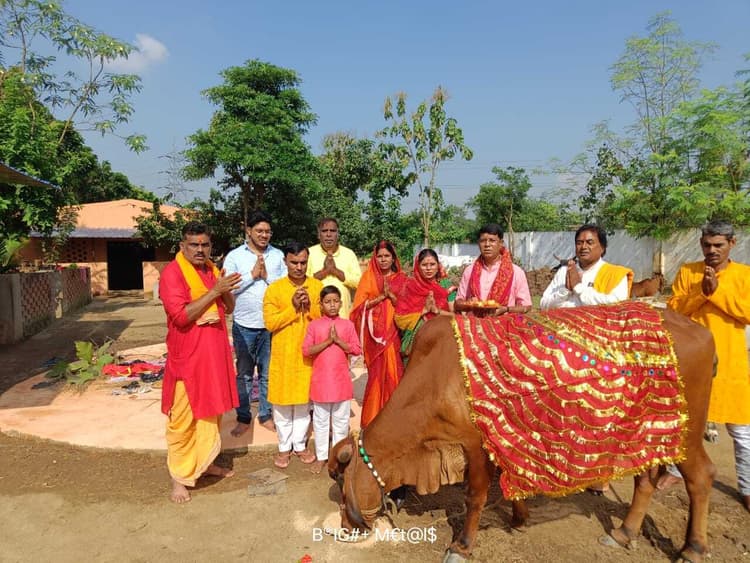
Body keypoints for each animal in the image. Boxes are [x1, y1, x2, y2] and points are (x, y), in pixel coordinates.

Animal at [329, 309, 715, 562]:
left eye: (341, 480)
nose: (345, 527)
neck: (435, 378)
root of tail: (701, 332)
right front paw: (519, 517)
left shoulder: (475, 444)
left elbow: (475, 495)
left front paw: (462, 546)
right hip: (649, 434)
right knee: (645, 480)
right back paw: (624, 533)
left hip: (687, 434)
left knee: (701, 477)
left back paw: (693, 549)